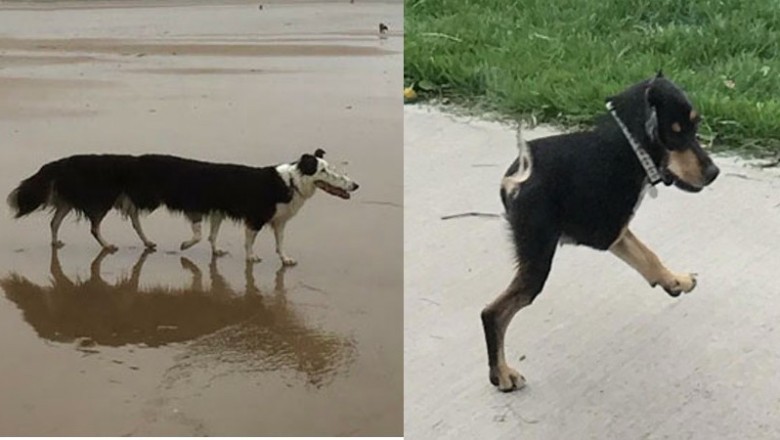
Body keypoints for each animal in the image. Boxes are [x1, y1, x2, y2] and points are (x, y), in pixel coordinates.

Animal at [8, 148, 360, 264]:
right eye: (326, 171)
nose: (355, 185)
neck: (289, 182)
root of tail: (66, 161)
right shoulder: (247, 216)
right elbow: (216, 236)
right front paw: (250, 258)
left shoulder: (269, 219)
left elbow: (275, 242)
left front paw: (284, 260)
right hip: (102, 200)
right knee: (92, 225)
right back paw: (108, 245)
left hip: (106, 200)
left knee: (57, 219)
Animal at [484, 72, 724, 392]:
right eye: (673, 134)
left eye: (695, 126)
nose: (713, 173)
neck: (630, 145)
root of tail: (518, 175)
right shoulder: (607, 230)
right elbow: (644, 252)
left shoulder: (613, 229)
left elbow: (648, 255)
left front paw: (675, 281)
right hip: (537, 258)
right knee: (493, 313)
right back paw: (502, 374)